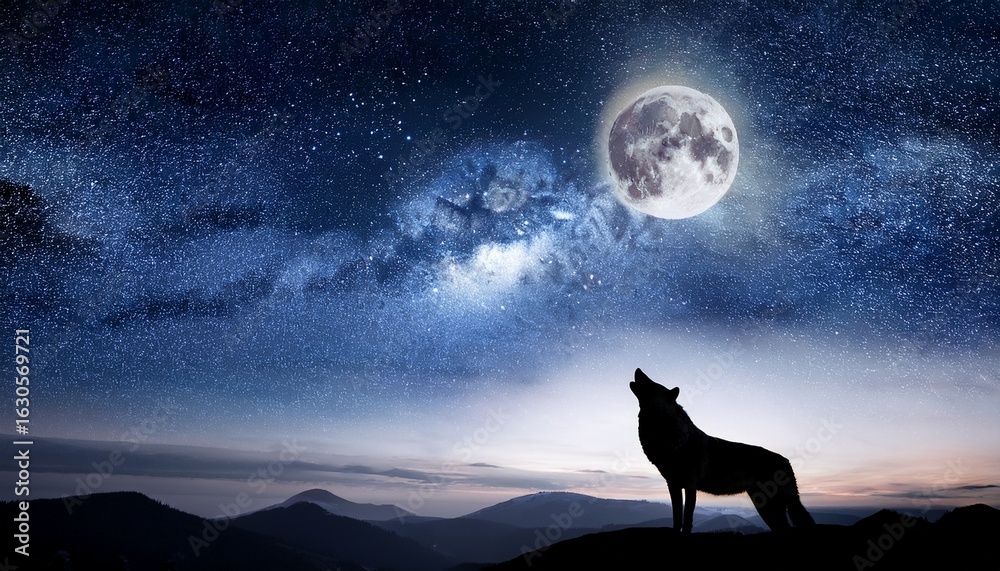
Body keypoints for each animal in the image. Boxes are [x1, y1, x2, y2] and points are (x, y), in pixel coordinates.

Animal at [629, 368, 815, 533]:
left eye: (652, 382)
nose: (638, 369)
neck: (668, 433)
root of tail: (786, 460)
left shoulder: (690, 485)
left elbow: (687, 519)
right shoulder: (673, 485)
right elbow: (676, 518)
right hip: (765, 506)